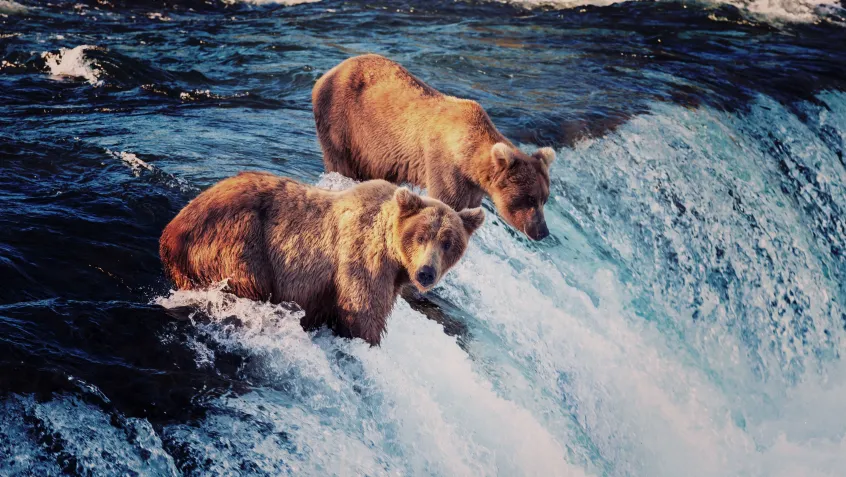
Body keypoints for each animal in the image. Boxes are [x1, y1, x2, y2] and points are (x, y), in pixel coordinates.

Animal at [159, 171, 484, 346]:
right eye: (421, 236)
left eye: (448, 243)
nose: (426, 272)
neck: (395, 257)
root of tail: (169, 233)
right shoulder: (362, 259)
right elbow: (363, 312)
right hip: (237, 241)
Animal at [312, 53, 556, 241]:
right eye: (529, 198)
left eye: (544, 198)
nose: (542, 231)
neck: (467, 156)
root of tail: (327, 73)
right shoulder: (445, 165)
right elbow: (447, 201)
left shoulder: (472, 186)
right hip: (344, 123)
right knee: (341, 162)